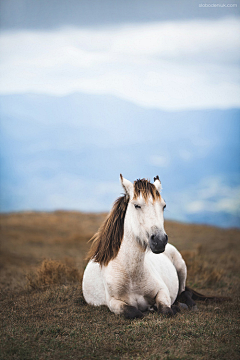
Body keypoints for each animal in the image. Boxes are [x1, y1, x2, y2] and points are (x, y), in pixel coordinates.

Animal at [82, 174, 229, 318]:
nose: (160, 240)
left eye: (163, 206)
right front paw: (150, 309)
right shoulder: (113, 302)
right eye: (137, 205)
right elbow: (134, 313)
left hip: (181, 267)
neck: (131, 276)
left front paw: (170, 308)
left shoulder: (162, 290)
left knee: (184, 292)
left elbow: (166, 310)